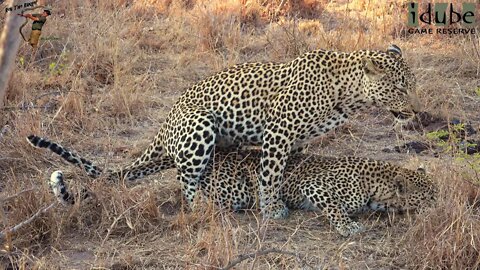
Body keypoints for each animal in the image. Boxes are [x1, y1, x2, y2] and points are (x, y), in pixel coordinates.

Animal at [31, 43, 420, 217]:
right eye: (399, 88)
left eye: (411, 86)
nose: (417, 111)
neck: (347, 94)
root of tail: (163, 128)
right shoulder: (278, 132)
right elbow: (270, 175)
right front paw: (271, 209)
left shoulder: (296, 140)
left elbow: (289, 170)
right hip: (199, 126)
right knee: (185, 183)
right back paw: (202, 207)